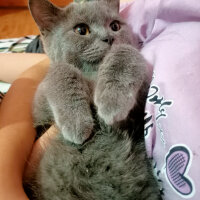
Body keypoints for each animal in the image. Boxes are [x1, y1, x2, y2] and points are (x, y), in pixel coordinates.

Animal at [25, 0, 162, 199]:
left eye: (115, 26)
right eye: (81, 30)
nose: (109, 38)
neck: (94, 75)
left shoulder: (138, 107)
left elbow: (126, 50)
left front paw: (111, 101)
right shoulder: (39, 109)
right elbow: (60, 70)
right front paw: (76, 123)